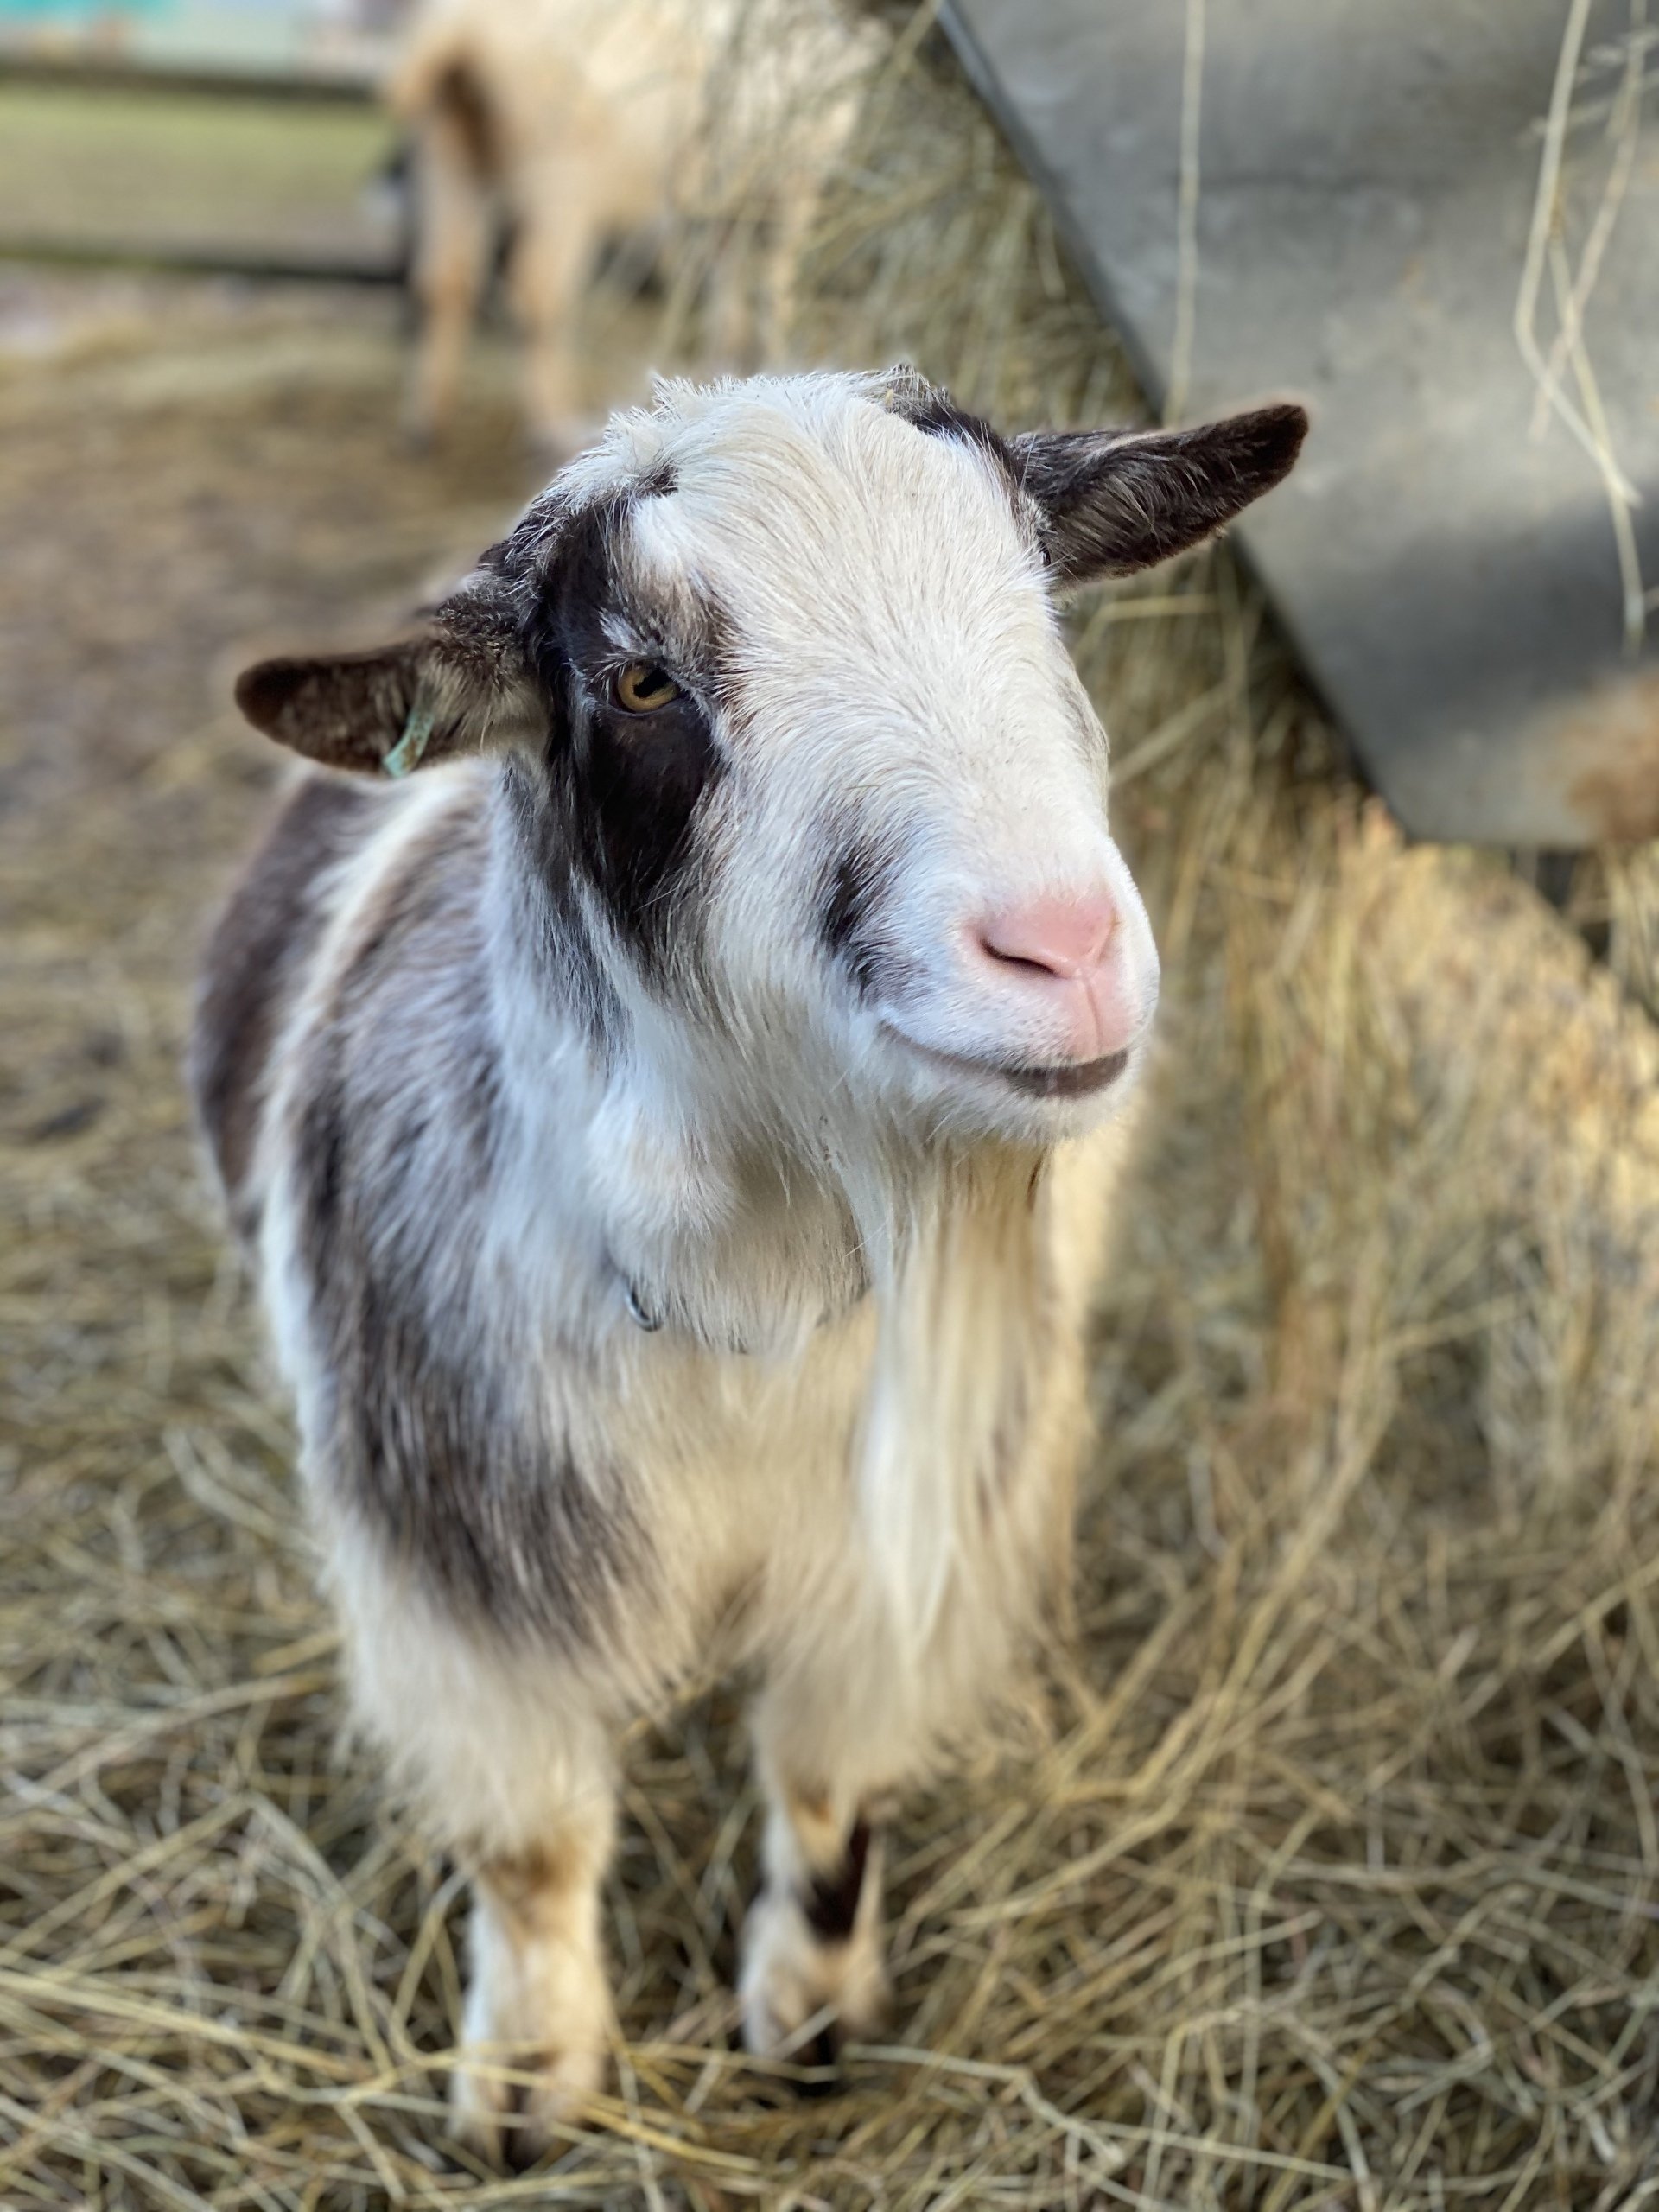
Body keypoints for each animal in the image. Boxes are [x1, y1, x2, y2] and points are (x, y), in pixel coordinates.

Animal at [192, 366, 1306, 2163]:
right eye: (639, 680)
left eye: (1041, 589)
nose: (1060, 948)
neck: (750, 1301)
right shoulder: (460, 1567)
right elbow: (533, 1846)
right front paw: (527, 2081)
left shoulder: (907, 1544)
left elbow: (828, 1785)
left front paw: (811, 2012)